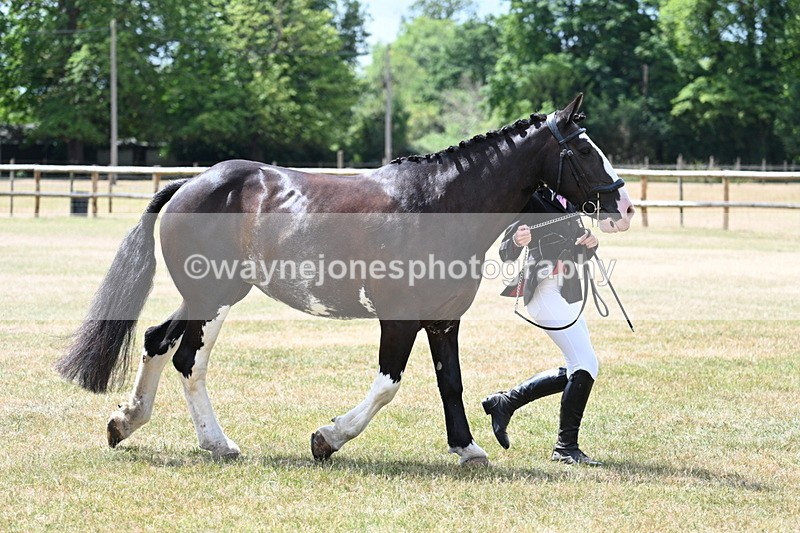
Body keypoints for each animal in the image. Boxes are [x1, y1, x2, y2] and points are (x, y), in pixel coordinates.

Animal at [56, 94, 635, 465]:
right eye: (584, 150)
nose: (624, 206)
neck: (437, 204)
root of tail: (189, 183)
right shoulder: (399, 318)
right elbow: (387, 385)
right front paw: (328, 439)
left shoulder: (443, 319)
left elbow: (450, 381)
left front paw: (468, 447)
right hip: (212, 295)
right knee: (185, 359)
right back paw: (214, 442)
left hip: (209, 295)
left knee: (160, 342)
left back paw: (129, 423)